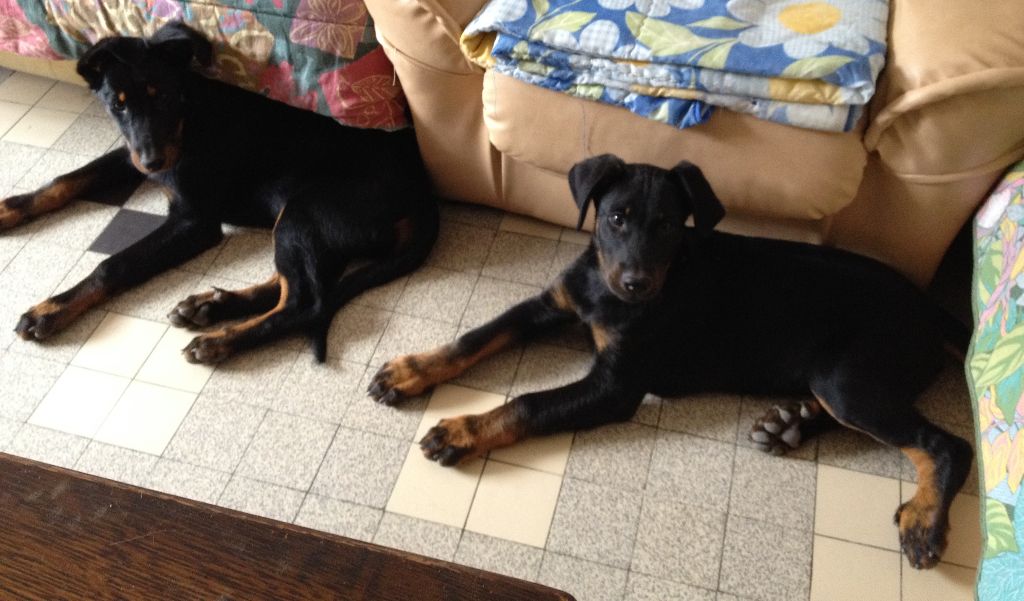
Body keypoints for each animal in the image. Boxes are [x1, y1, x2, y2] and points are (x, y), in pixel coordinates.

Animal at [0, 22, 437, 363]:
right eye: (117, 105)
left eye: (162, 95)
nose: (154, 162)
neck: (189, 116)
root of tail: (424, 196)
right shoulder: (131, 154)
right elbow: (66, 180)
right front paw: (10, 209)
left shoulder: (194, 220)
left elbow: (115, 264)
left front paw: (49, 311)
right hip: (311, 225)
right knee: (297, 285)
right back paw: (211, 307)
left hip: (305, 210)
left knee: (305, 302)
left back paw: (220, 341)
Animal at [368, 154, 973, 570]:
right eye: (616, 218)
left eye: (666, 225)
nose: (636, 283)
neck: (604, 292)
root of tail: (930, 308)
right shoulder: (548, 305)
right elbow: (476, 337)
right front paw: (410, 371)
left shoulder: (615, 384)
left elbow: (529, 403)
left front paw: (460, 431)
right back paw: (790, 424)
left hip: (845, 377)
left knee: (946, 444)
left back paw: (922, 520)